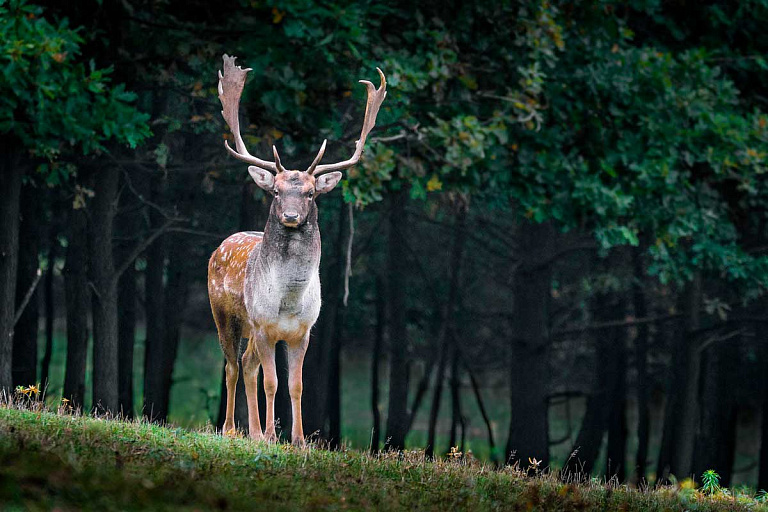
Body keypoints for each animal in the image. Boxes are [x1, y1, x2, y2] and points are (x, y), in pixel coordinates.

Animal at [207, 55, 388, 444]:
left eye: (310, 193)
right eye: (276, 191)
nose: (290, 216)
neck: (288, 301)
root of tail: (220, 246)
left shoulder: (303, 332)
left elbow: (296, 385)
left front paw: (299, 440)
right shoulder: (264, 326)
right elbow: (272, 383)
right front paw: (272, 436)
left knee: (247, 365)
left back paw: (253, 432)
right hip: (225, 315)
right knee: (232, 365)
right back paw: (232, 429)